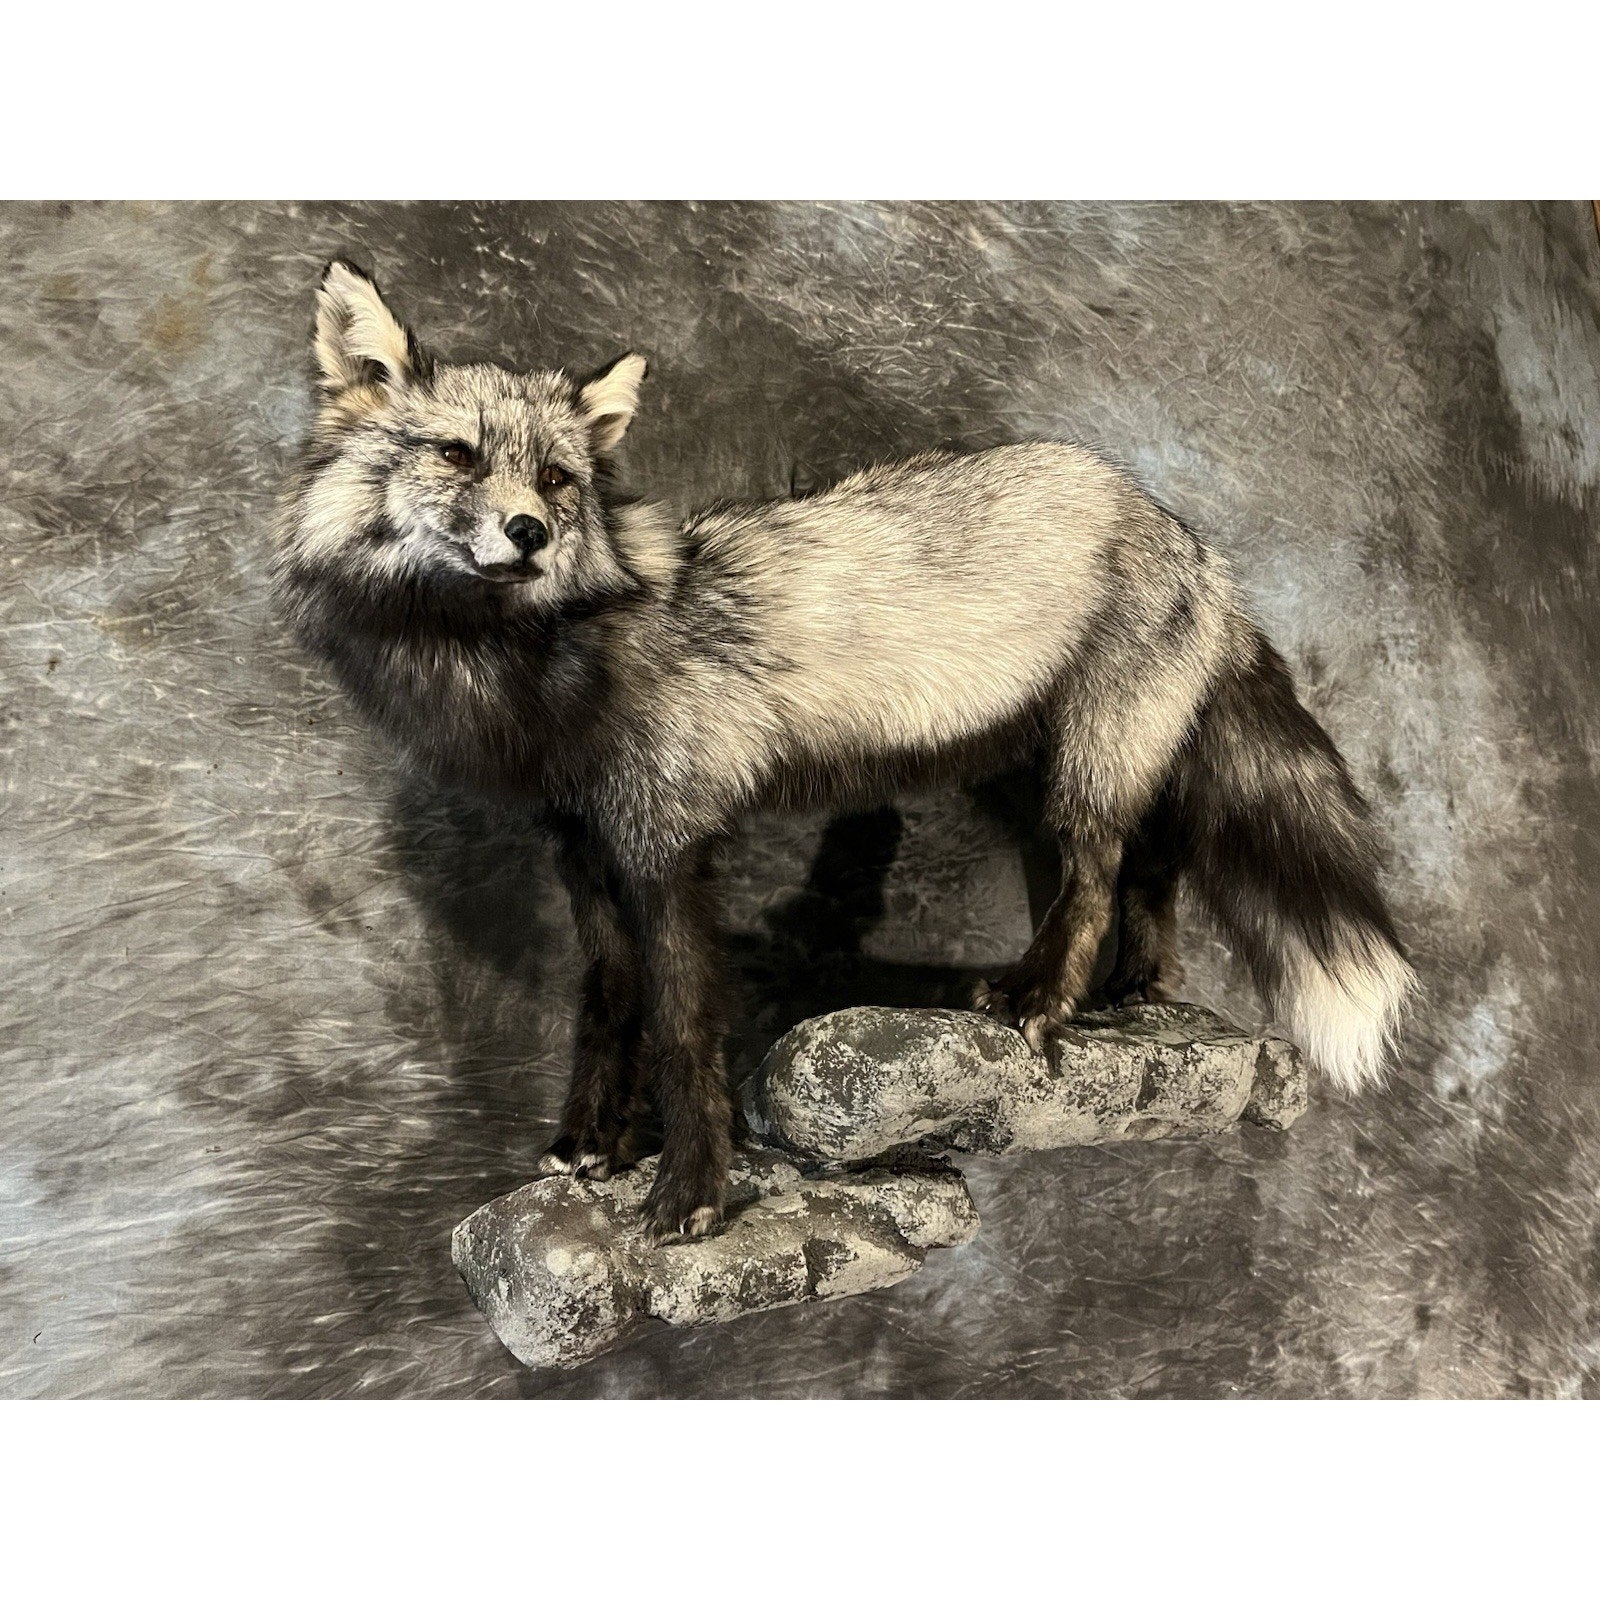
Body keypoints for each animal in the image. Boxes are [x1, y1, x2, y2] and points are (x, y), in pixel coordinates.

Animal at [274, 261, 1416, 1239]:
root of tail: (1187, 532)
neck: (546, 668)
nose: (528, 533)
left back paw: (1041, 1001)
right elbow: (607, 1004)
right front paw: (591, 1145)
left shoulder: (666, 845)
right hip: (1069, 770)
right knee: (1145, 878)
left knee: (1095, 878)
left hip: (1088, 766)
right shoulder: (587, 848)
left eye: (556, 478)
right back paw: (1130, 997)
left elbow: (682, 1026)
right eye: (456, 454)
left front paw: (691, 1191)